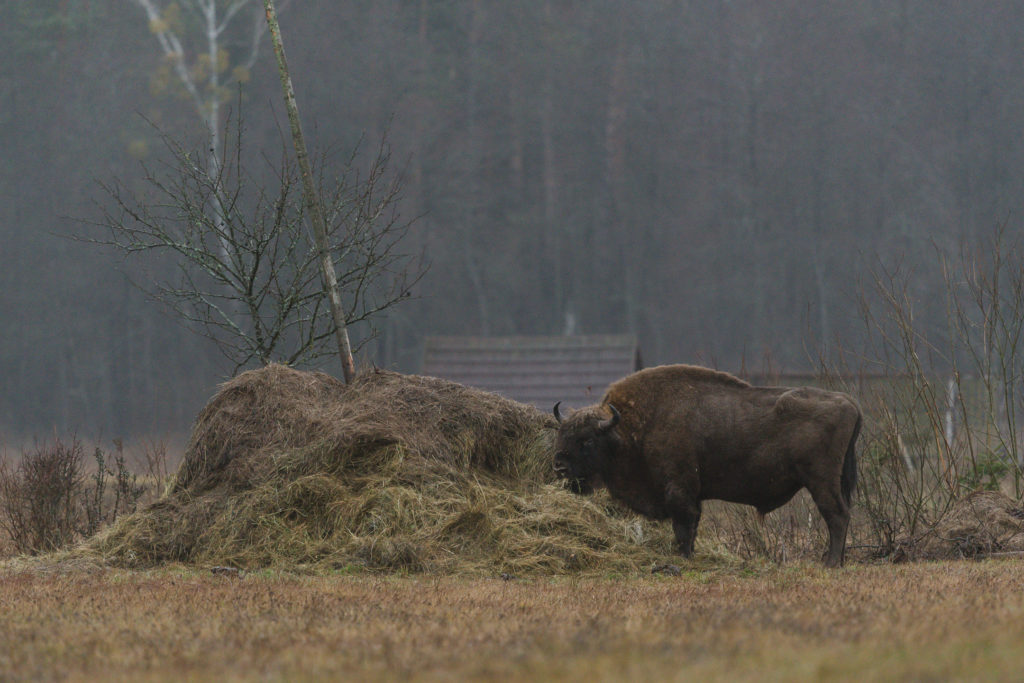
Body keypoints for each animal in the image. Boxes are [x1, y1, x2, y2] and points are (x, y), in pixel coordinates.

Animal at [557, 366, 860, 569]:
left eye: (586, 440)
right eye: (563, 435)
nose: (560, 467)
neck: (631, 429)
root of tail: (849, 402)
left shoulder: (679, 490)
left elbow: (684, 526)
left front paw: (682, 558)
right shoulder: (692, 494)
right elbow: (692, 526)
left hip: (821, 480)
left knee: (837, 515)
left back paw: (831, 563)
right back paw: (839, 561)